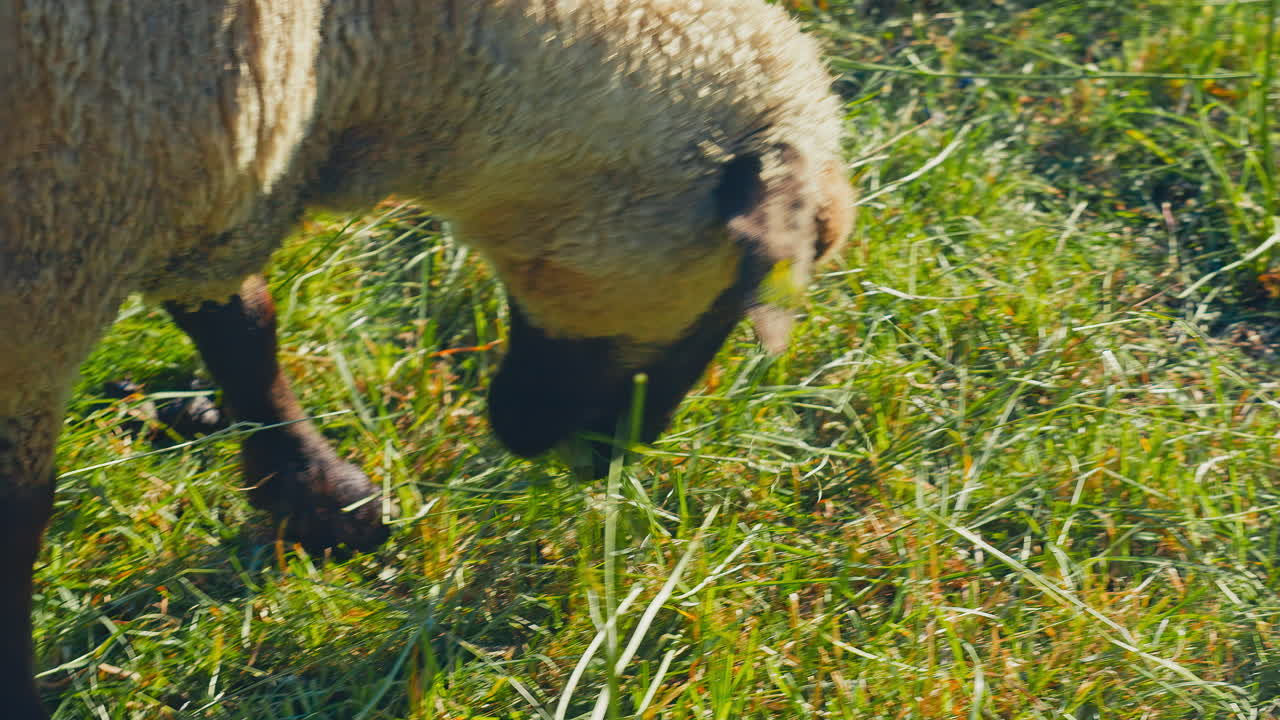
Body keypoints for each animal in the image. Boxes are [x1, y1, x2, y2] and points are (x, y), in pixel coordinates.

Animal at [0, 0, 854, 714]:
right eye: (735, 293)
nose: (615, 451)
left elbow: (242, 324)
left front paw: (321, 498)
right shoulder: (50, 255)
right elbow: (19, 510)